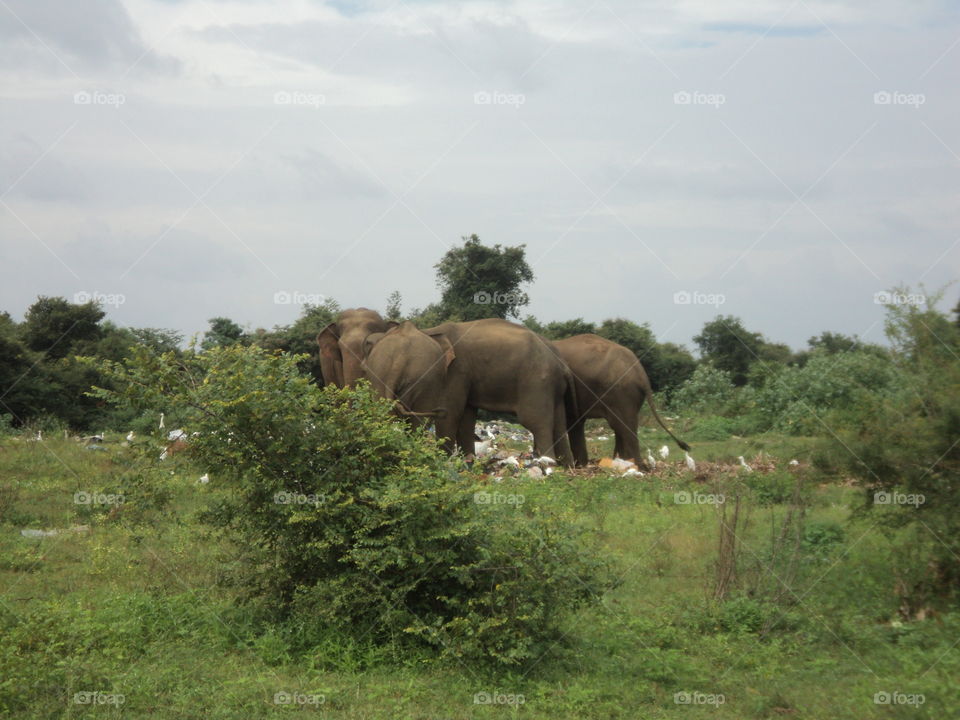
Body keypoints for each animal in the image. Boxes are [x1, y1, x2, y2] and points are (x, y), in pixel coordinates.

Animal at [420, 318, 578, 465]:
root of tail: (563, 366)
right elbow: (466, 415)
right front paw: (468, 461)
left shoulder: (457, 370)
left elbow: (449, 412)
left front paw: (441, 461)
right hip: (554, 388)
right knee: (559, 425)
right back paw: (566, 468)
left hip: (537, 382)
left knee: (536, 422)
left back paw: (548, 463)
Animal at [552, 333, 689, 467]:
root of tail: (641, 372)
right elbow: (575, 420)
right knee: (620, 426)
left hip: (621, 392)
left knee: (622, 426)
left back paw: (635, 465)